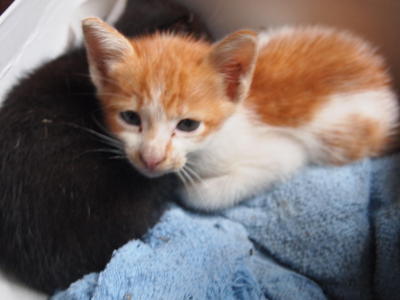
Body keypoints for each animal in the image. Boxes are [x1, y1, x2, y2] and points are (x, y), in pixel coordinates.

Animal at [80, 18, 396, 211]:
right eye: (131, 118)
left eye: (188, 125)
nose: (151, 158)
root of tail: (378, 73)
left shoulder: (285, 154)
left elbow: (206, 194)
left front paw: (184, 190)